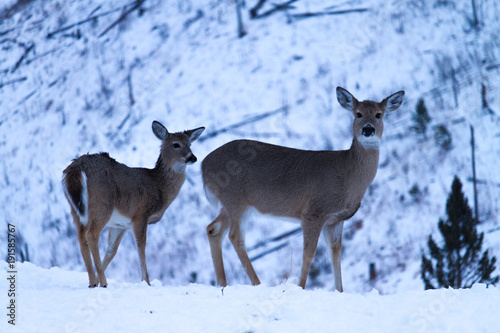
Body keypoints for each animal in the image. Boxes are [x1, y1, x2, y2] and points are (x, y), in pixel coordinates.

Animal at [62, 120, 203, 286]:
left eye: (190, 144)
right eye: (176, 144)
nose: (192, 157)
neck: (159, 186)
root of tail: (76, 168)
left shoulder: (121, 224)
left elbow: (112, 250)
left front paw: (97, 278)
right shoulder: (141, 214)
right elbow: (141, 246)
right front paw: (146, 282)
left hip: (76, 208)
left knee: (81, 237)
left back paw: (93, 281)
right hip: (101, 202)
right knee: (92, 234)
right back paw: (103, 282)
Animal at [201, 87, 404, 290]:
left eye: (379, 114)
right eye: (358, 114)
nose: (368, 129)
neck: (348, 176)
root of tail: (203, 165)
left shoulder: (336, 220)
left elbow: (336, 255)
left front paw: (339, 291)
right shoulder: (313, 212)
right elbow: (309, 253)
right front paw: (300, 287)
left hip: (231, 205)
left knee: (213, 229)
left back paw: (222, 284)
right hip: (236, 201)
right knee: (235, 237)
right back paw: (257, 284)